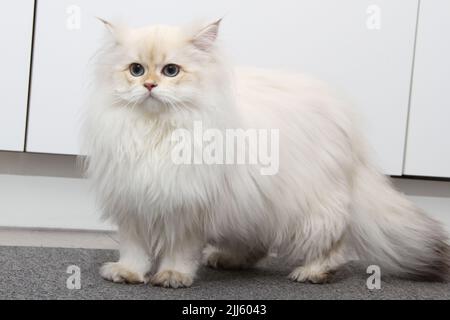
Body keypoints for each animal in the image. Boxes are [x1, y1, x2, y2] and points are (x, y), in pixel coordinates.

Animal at [81, 18, 450, 286]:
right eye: (136, 70)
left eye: (171, 70)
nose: (149, 86)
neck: (156, 131)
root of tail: (347, 121)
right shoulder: (132, 204)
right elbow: (135, 251)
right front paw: (127, 274)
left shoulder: (188, 208)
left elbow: (179, 252)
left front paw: (172, 277)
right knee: (257, 243)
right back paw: (227, 260)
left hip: (312, 207)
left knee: (336, 243)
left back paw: (314, 273)